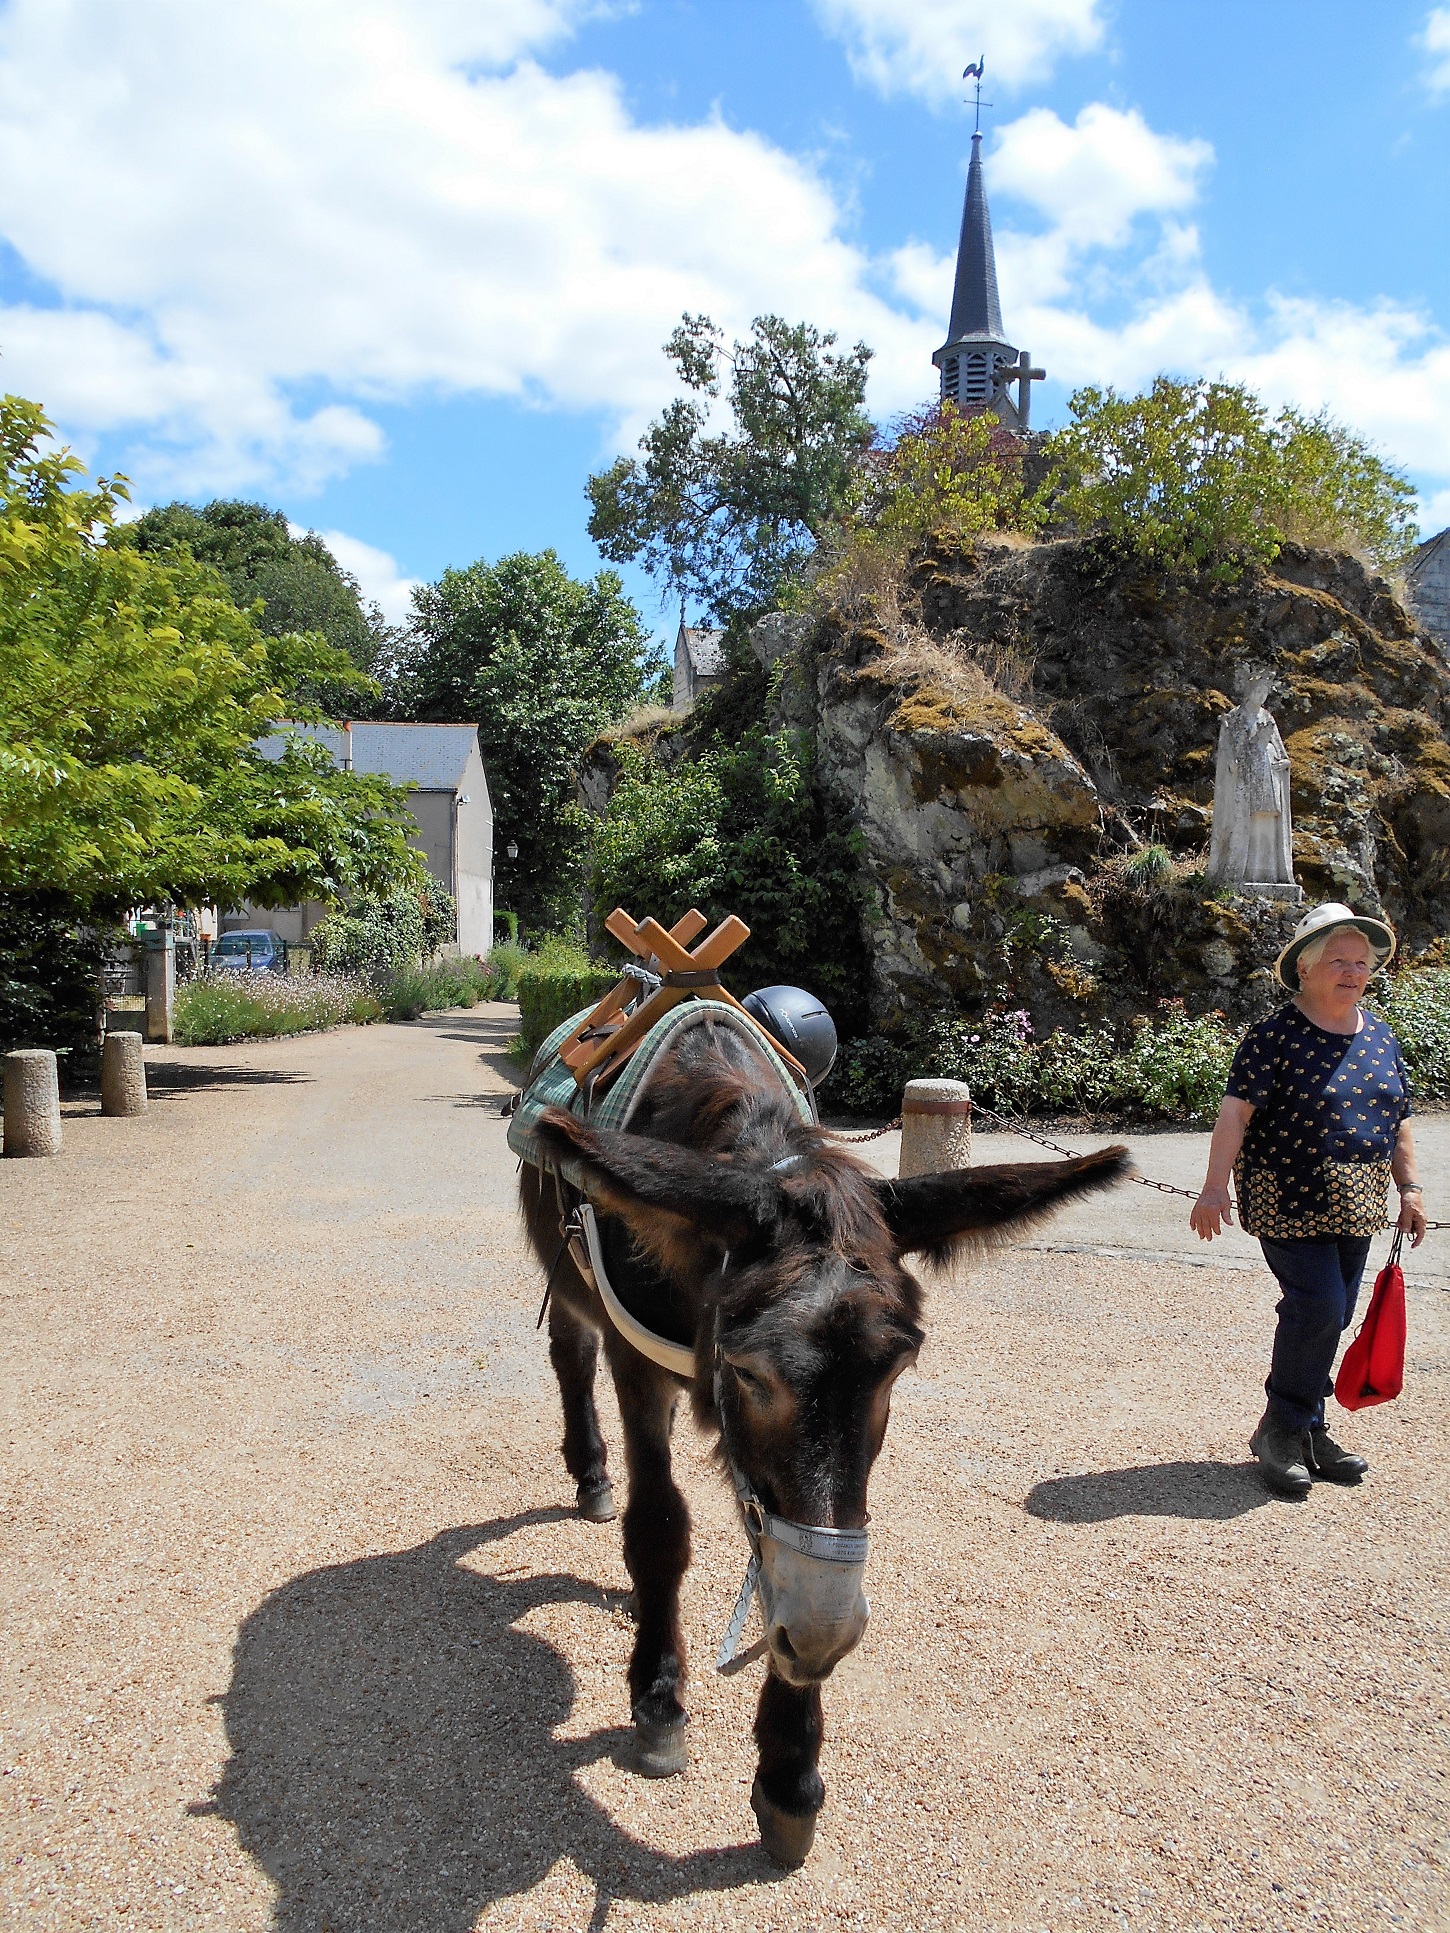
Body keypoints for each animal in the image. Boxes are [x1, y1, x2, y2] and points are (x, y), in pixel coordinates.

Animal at [521, 1014, 1129, 1866]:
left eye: (899, 1366)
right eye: (747, 1370)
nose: (828, 1636)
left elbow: (786, 1562)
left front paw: (788, 1772)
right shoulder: (638, 1366)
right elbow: (660, 1528)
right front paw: (660, 1699)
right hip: (574, 1293)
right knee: (571, 1358)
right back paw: (593, 1477)